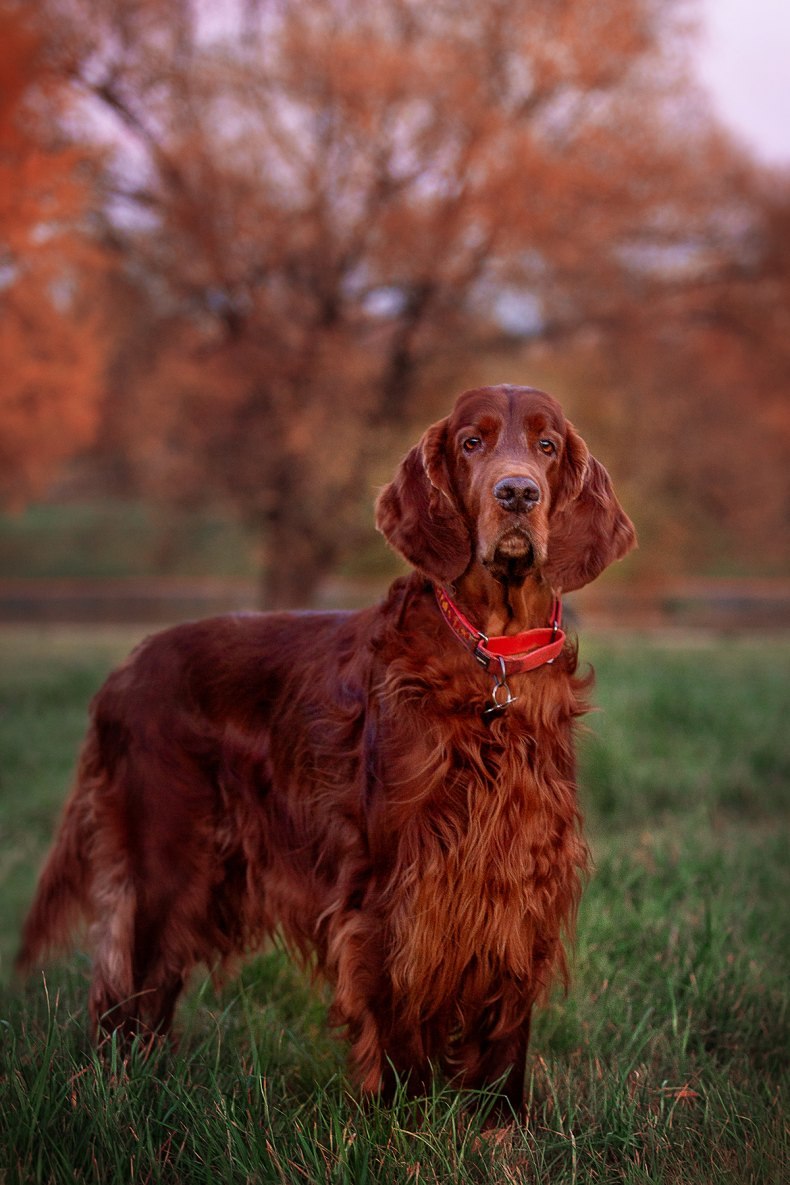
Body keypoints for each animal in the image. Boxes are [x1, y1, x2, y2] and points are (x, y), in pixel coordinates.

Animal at [18, 386, 634, 1109]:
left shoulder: (521, 871)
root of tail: (125, 670)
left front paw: (499, 1121)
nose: (517, 493)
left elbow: (506, 1019)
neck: (492, 659)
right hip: (162, 863)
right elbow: (398, 1010)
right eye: (471, 443)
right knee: (122, 992)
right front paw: (404, 1116)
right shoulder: (395, 878)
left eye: (547, 445)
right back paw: (118, 1097)